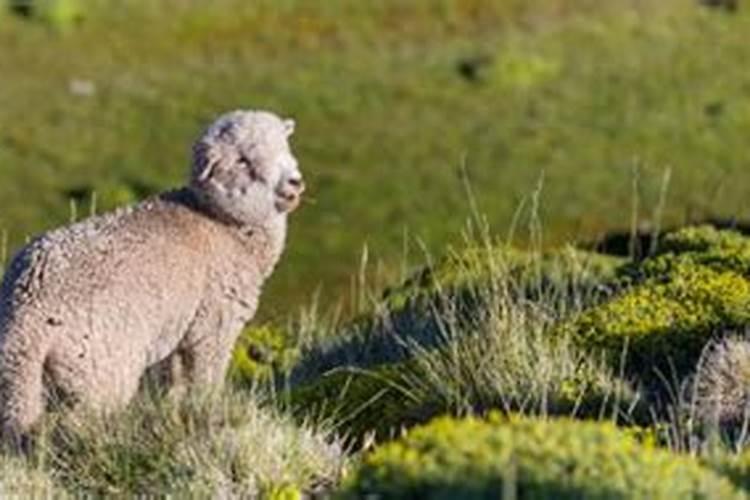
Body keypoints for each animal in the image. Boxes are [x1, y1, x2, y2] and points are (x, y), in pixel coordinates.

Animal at [0, 109, 306, 446]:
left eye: (284, 145)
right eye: (242, 161)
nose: (294, 182)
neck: (221, 225)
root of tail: (25, 320)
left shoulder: (177, 331)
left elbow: (170, 382)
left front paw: (171, 413)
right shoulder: (214, 324)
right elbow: (206, 380)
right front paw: (207, 412)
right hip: (100, 367)